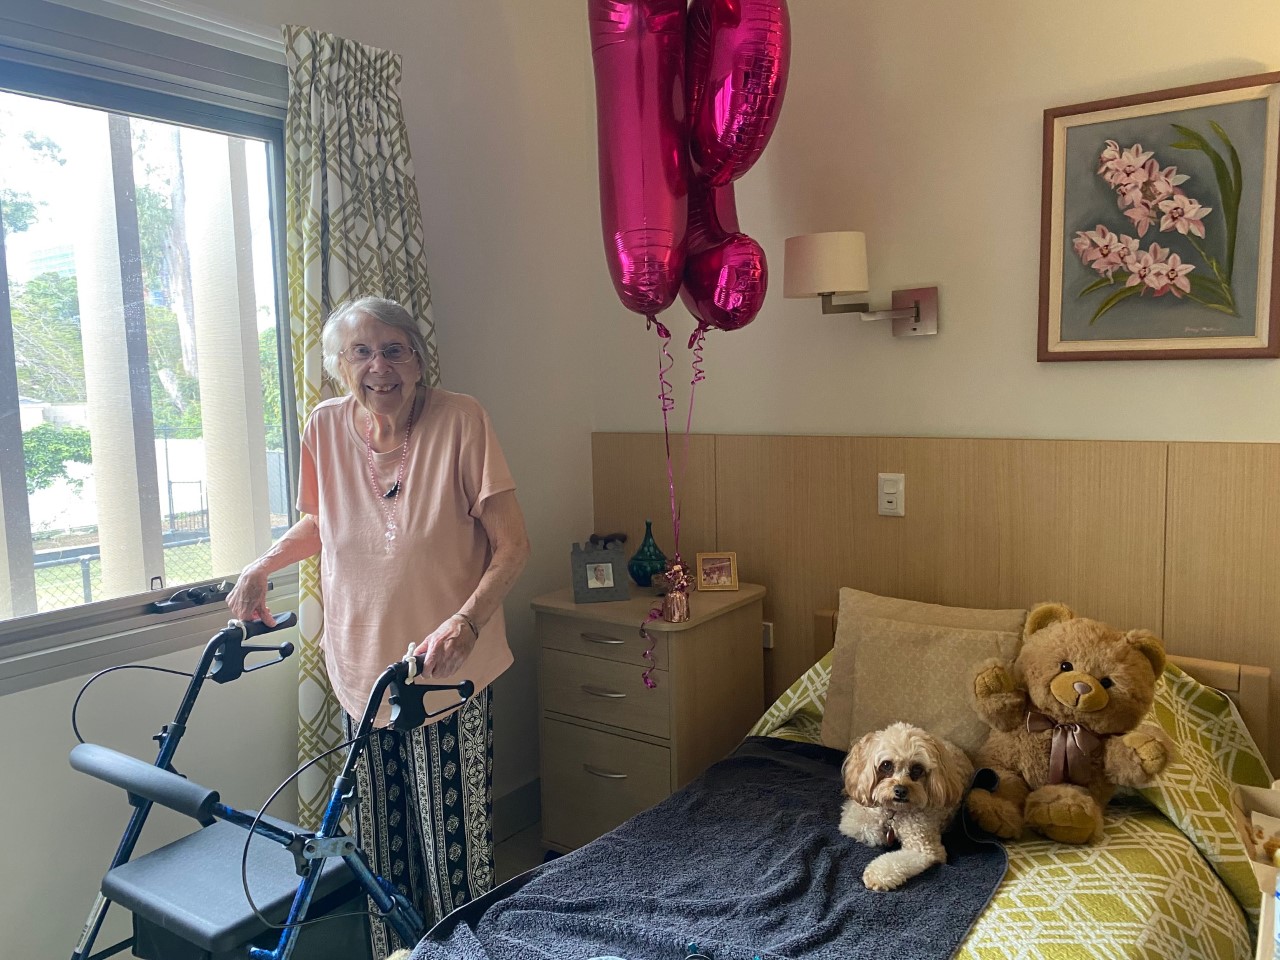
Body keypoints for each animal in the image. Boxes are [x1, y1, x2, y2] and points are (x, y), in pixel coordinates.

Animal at [839, 721, 967, 896]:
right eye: (886, 765)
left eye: (917, 769)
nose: (900, 790)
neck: (895, 813)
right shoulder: (855, 820)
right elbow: (863, 826)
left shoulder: (924, 847)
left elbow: (896, 861)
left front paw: (876, 875)